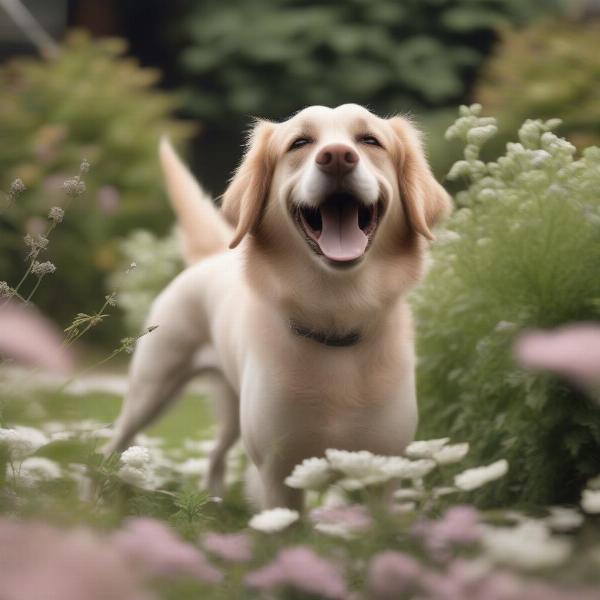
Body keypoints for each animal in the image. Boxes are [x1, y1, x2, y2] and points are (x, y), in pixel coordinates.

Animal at [105, 104, 448, 510]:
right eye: (300, 142)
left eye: (369, 140)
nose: (337, 157)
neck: (337, 319)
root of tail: (211, 255)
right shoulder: (279, 473)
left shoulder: (383, 474)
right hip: (152, 390)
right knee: (113, 444)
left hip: (229, 408)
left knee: (215, 454)